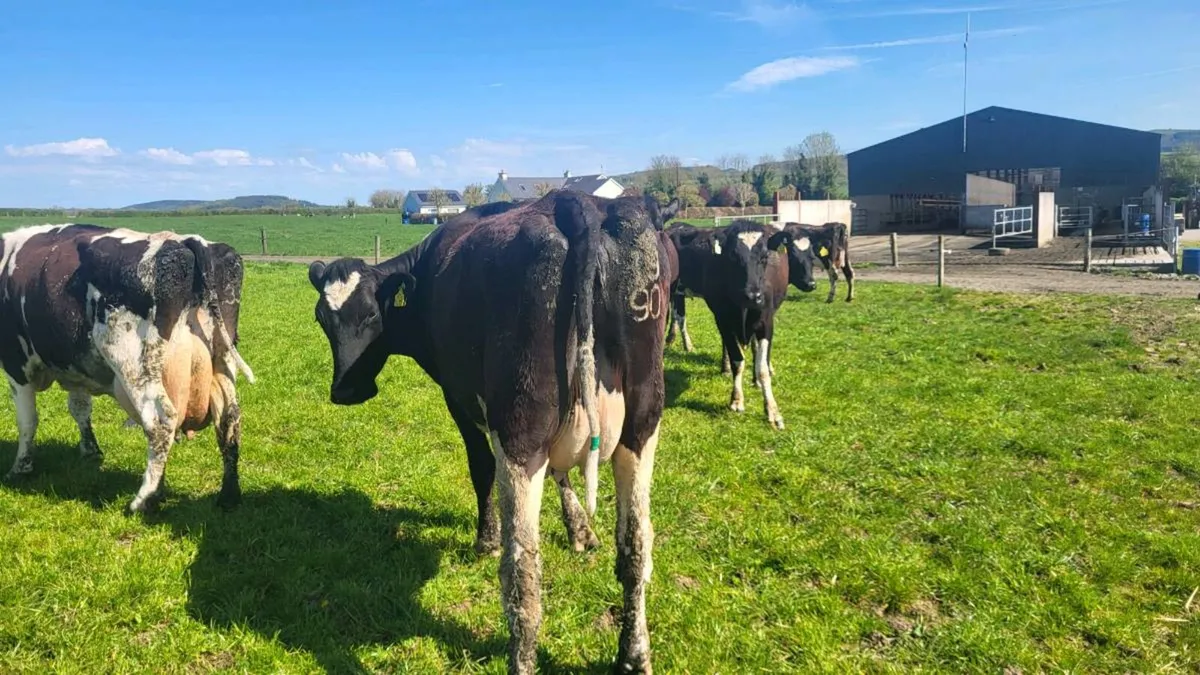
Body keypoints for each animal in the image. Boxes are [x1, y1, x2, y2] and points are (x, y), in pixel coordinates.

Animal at [0, 224, 255, 513]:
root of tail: (185, 241)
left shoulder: (15, 363)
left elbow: (27, 420)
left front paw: (20, 468)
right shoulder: (77, 368)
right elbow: (80, 409)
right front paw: (90, 450)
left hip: (136, 365)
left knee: (161, 421)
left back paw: (143, 499)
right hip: (223, 361)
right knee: (229, 420)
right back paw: (228, 495)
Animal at [307, 190, 670, 674]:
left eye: (369, 316)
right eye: (321, 319)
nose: (345, 391)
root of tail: (577, 202)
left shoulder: (458, 398)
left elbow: (481, 469)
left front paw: (486, 539)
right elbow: (563, 475)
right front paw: (580, 530)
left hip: (520, 429)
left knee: (522, 572)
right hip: (642, 424)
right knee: (635, 547)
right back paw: (633, 655)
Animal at [666, 220, 812, 429]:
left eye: (764, 257)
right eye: (733, 256)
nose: (811, 283)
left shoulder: (766, 323)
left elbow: (762, 367)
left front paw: (772, 409)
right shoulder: (723, 320)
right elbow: (738, 360)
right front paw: (736, 399)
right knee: (679, 316)